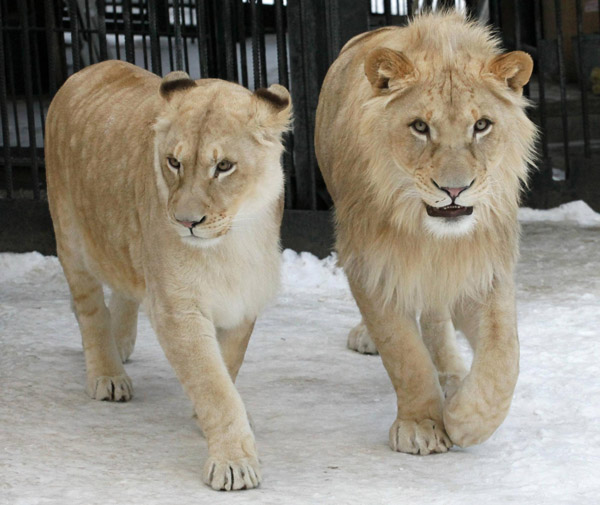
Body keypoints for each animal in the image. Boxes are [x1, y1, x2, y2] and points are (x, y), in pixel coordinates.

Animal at [45, 59, 292, 488]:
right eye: (174, 162)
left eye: (224, 166)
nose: (186, 222)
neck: (231, 243)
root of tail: (88, 69)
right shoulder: (178, 310)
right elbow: (212, 385)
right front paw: (233, 461)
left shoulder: (243, 300)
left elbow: (226, 365)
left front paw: (206, 418)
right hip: (71, 240)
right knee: (90, 310)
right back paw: (108, 374)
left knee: (124, 287)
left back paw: (121, 343)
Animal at [316, 11, 536, 452]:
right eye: (419, 126)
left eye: (481, 125)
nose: (454, 189)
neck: (431, 236)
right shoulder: (372, 264)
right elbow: (404, 354)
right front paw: (422, 425)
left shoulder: (484, 265)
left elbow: (503, 353)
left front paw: (465, 419)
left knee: (436, 316)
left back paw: (453, 376)